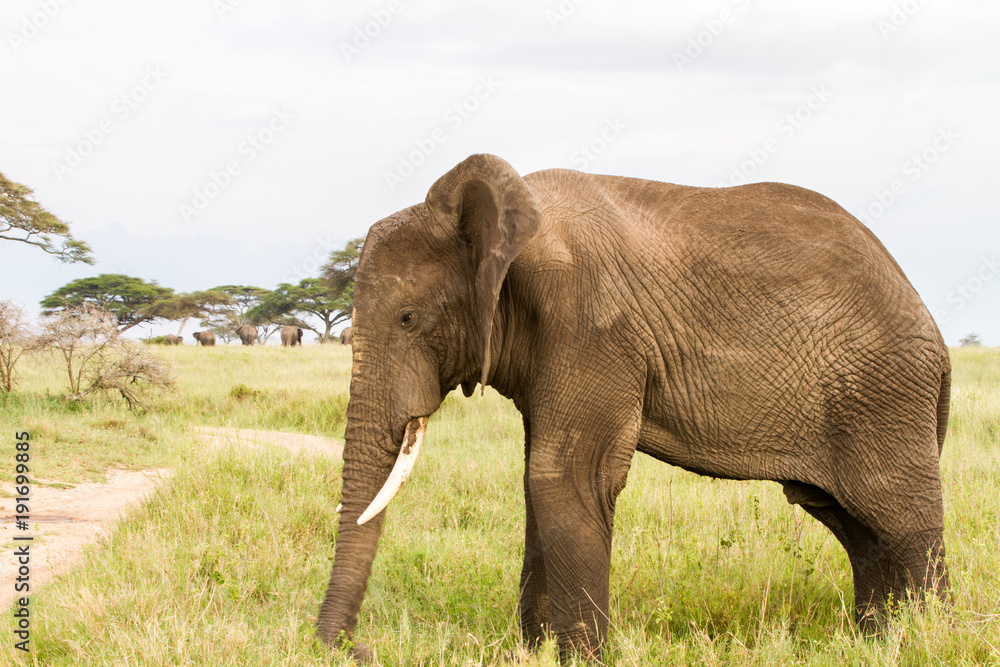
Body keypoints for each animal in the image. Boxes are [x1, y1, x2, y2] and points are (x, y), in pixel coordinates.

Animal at [315, 154, 951, 663]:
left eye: (408, 319)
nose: (356, 648)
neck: (511, 232)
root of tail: (932, 328)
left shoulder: (592, 326)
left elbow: (562, 477)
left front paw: (578, 659)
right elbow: (541, 482)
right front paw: (538, 653)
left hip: (881, 394)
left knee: (899, 520)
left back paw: (927, 639)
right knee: (855, 524)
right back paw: (878, 640)